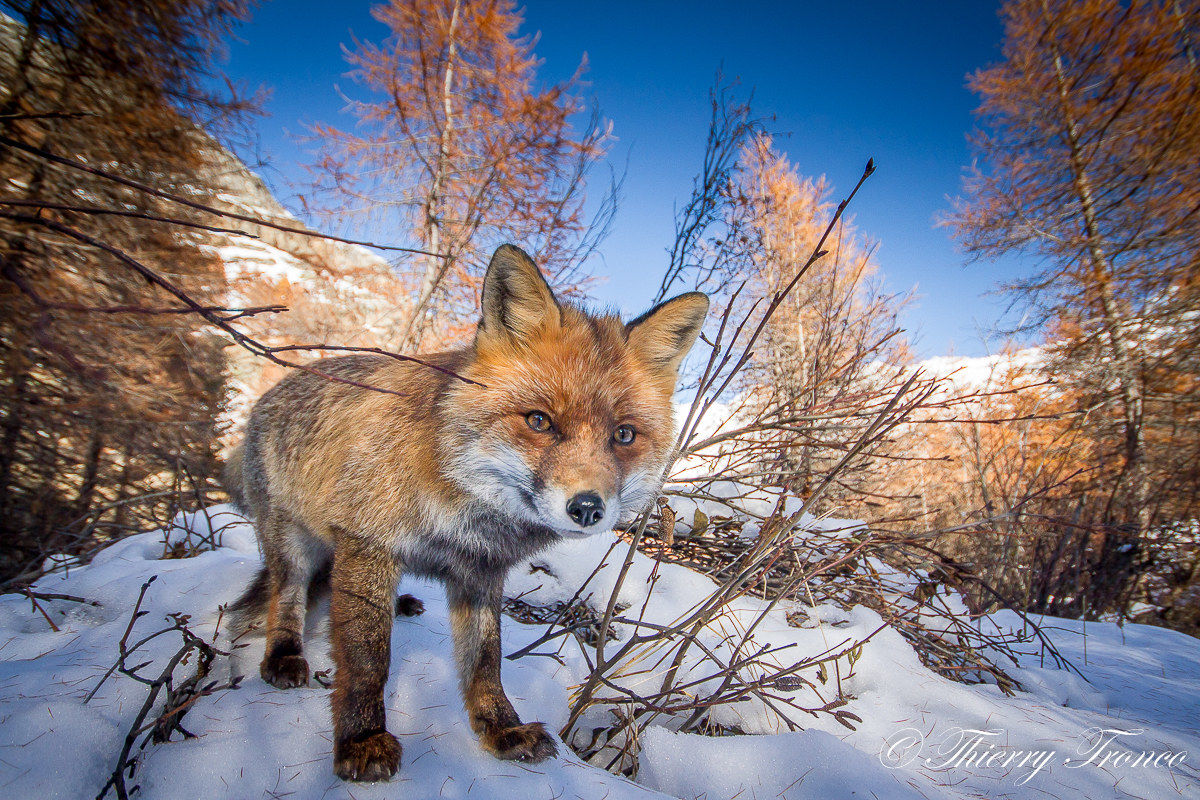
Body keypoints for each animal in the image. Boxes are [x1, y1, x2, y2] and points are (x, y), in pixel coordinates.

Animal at [223, 244, 708, 782]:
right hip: (293, 543)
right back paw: (284, 655)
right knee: (285, 597)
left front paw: (501, 729)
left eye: (623, 435)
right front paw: (361, 739)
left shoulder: (481, 571)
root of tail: (268, 394)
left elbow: (485, 661)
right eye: (539, 421)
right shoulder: (367, 543)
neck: (466, 507)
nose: (587, 508)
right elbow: (368, 657)